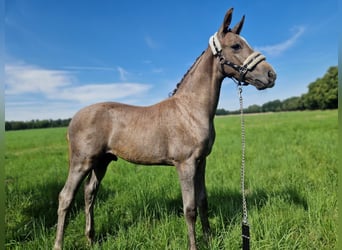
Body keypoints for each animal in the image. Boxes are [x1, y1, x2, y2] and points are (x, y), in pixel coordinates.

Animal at [54, 7, 276, 250]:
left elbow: (203, 200)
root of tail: (73, 119)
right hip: (81, 162)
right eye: (236, 45)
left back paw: (91, 238)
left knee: (89, 193)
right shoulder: (185, 164)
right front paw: (194, 245)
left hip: (101, 162)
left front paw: (208, 238)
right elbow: (189, 209)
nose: (270, 75)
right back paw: (59, 244)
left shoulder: (201, 162)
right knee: (66, 197)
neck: (190, 109)